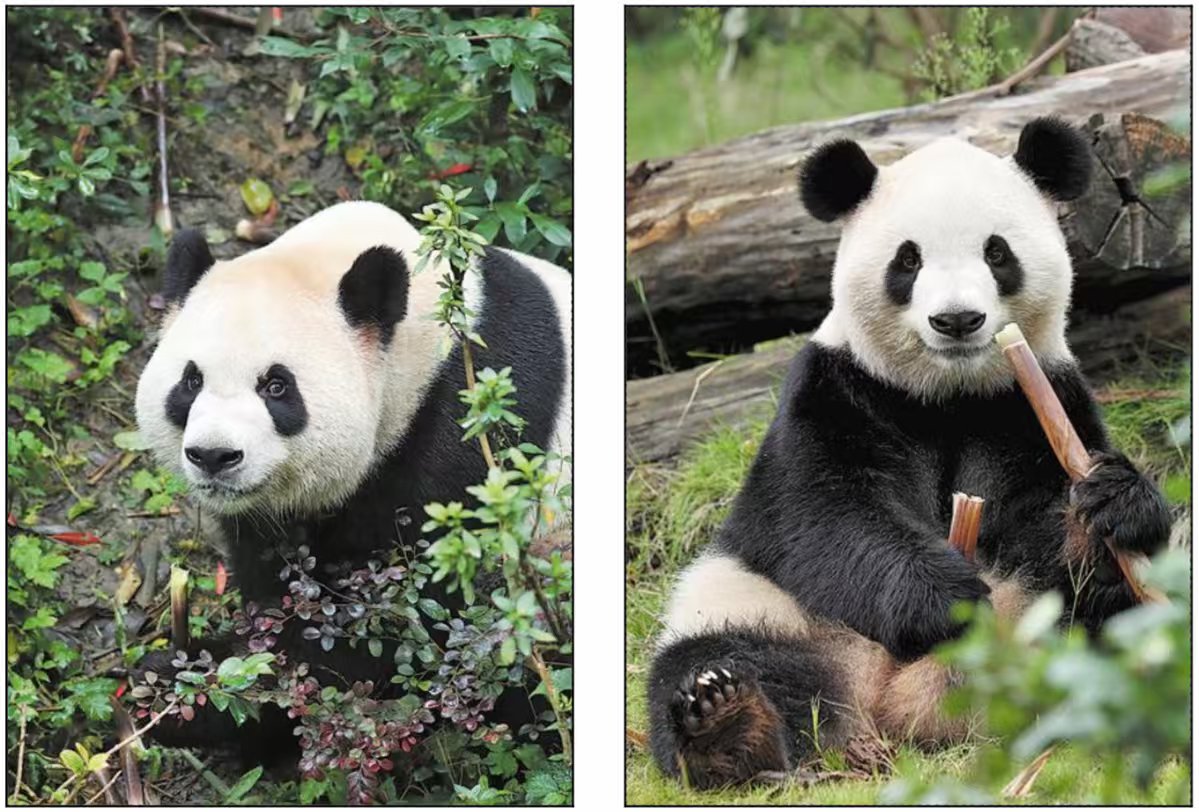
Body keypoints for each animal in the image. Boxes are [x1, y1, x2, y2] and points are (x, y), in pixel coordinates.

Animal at [134, 200, 571, 760]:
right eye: (191, 381)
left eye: (277, 387)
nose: (214, 455)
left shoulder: (469, 437)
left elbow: (389, 628)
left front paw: (197, 696)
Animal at [646, 118, 1172, 789]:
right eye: (908, 259)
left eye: (997, 252)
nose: (957, 320)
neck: (947, 395)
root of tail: (893, 705)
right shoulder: (834, 391)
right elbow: (821, 513)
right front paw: (944, 598)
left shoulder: (1034, 400)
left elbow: (1047, 518)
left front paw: (1109, 505)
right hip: (759, 605)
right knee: (719, 658)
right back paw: (728, 723)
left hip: (1038, 623)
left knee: (1109, 626)